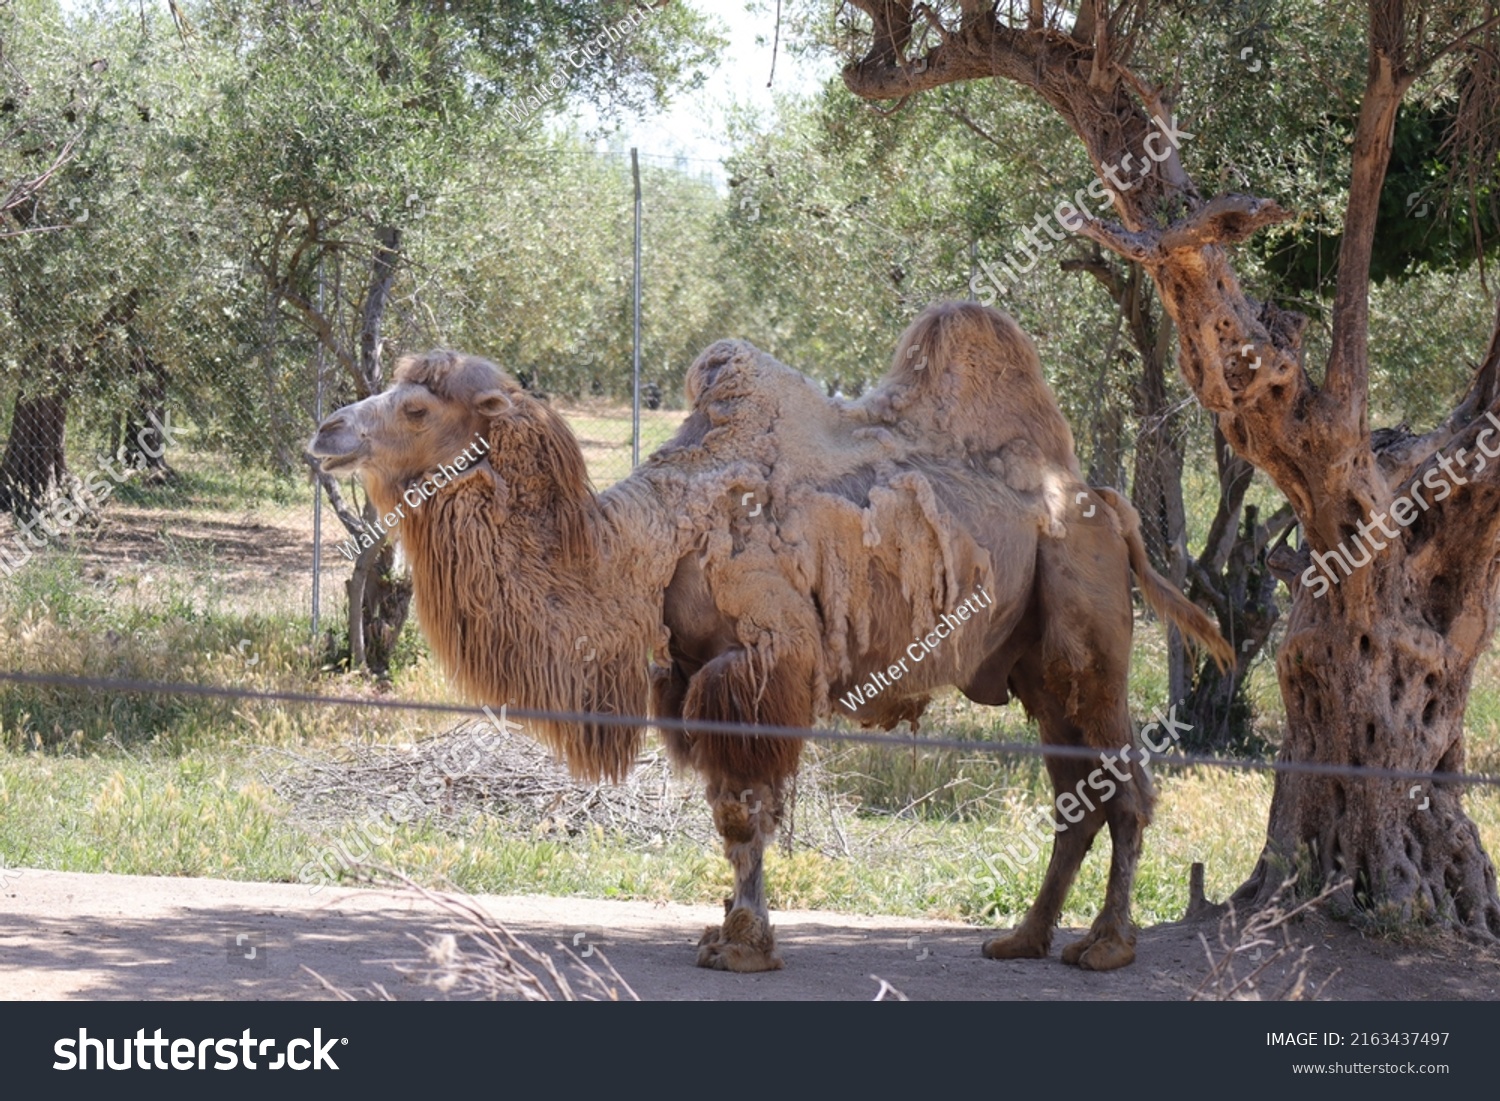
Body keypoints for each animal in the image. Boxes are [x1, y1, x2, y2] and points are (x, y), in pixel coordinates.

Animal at [307, 300, 1230, 972]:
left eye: (416, 404)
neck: (645, 545)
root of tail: (1105, 503)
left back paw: (1106, 945)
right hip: (1035, 667)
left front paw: (746, 945)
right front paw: (723, 929)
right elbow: (725, 812)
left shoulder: (762, 661)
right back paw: (1024, 938)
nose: (326, 431)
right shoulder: (688, 674)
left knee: (1123, 786)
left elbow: (746, 810)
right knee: (1077, 797)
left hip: (1086, 634)